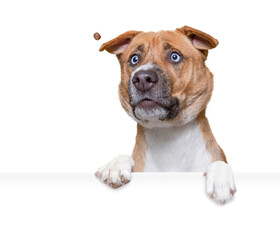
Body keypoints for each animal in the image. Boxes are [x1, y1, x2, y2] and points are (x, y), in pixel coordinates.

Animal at [94, 25, 236, 203]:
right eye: (134, 59)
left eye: (175, 56)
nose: (142, 78)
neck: (167, 131)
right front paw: (115, 165)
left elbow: (220, 163)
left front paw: (220, 179)